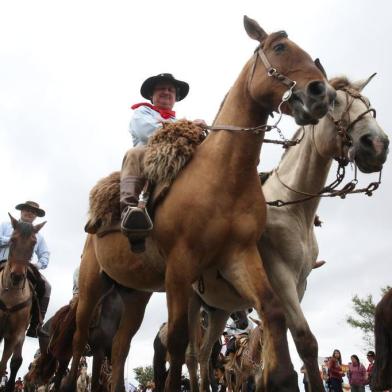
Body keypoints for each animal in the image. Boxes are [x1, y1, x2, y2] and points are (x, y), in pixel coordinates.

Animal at [0, 214, 46, 392]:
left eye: (34, 243)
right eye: (12, 239)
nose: (17, 276)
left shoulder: (13, 335)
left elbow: (3, 365)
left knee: (16, 361)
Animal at [61, 15, 334, 392]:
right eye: (280, 47)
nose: (322, 93)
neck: (223, 176)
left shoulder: (239, 257)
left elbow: (273, 311)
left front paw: (281, 378)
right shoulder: (180, 266)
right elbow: (178, 341)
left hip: (135, 296)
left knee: (120, 347)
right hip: (91, 287)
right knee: (78, 343)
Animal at [189, 74, 388, 392]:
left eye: (367, 104)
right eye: (334, 102)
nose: (378, 144)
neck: (293, 210)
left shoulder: (299, 285)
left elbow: (285, 346)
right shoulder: (279, 277)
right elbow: (305, 341)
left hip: (218, 311)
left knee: (206, 353)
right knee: (193, 355)